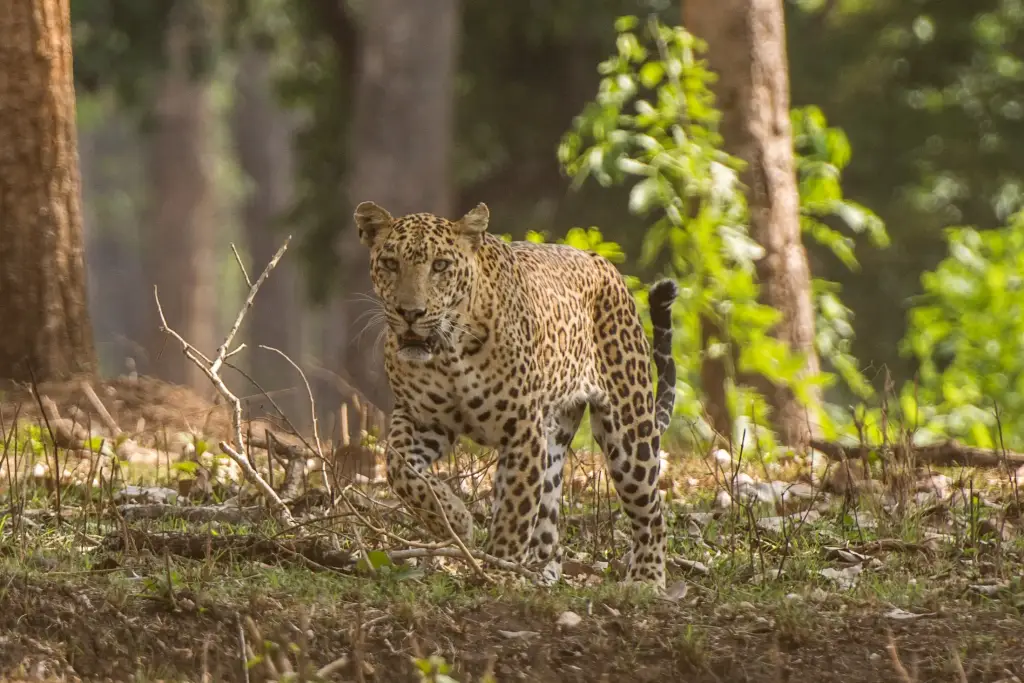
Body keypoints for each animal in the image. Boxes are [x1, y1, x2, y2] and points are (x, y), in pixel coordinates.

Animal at [354, 199, 679, 589]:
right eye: (390, 263)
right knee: (549, 521)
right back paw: (539, 571)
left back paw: (646, 578)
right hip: (554, 435)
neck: (448, 353)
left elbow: (515, 510)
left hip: (628, 432)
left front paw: (499, 568)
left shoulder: (522, 428)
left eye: (440, 266)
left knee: (651, 511)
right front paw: (454, 520)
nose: (410, 313)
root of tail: (603, 264)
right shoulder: (422, 419)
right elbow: (399, 466)